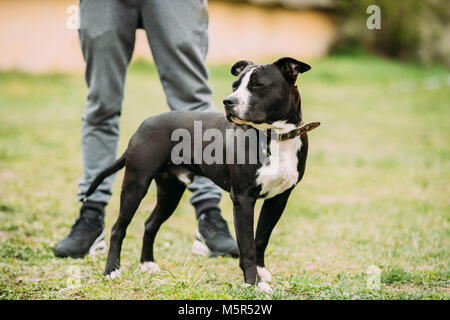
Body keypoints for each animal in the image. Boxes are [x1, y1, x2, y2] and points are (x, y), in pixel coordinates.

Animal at [84, 57, 316, 292]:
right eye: (235, 86)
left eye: (257, 85)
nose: (228, 101)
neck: (276, 136)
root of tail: (143, 124)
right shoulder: (243, 199)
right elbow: (247, 246)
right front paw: (253, 283)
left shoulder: (278, 199)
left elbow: (261, 238)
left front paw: (261, 273)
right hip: (136, 185)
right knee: (118, 228)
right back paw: (112, 270)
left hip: (170, 192)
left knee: (150, 224)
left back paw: (147, 264)